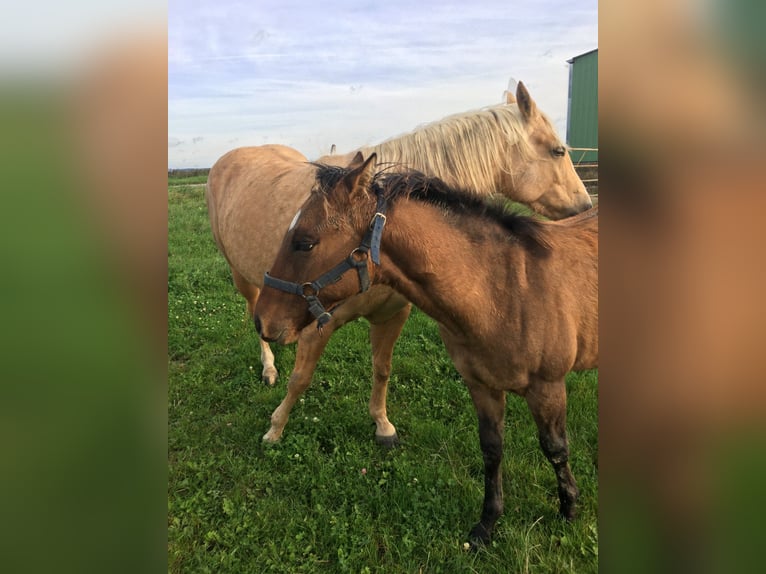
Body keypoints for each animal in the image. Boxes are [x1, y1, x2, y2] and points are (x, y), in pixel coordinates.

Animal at [206, 82, 592, 446]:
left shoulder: (392, 315)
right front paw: (275, 429)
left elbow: (382, 369)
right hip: (244, 279)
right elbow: (300, 380)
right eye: (558, 151)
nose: (586, 206)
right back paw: (269, 367)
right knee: (255, 312)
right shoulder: (316, 323)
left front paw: (382, 425)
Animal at [255, 154, 604, 548]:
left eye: (305, 243)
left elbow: (556, 449)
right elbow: (492, 450)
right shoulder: (482, 386)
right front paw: (486, 525)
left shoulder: (548, 387)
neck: (505, 289)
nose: (261, 320)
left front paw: (568, 509)